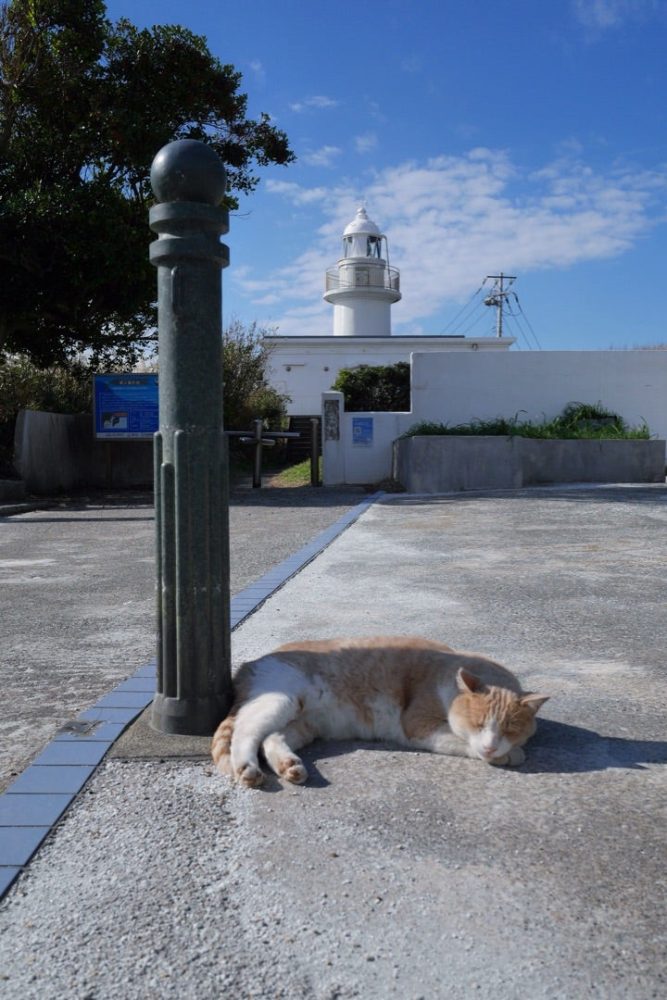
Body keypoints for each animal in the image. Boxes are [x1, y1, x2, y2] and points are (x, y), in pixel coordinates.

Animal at [213, 636, 548, 784]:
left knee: (272, 738)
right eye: (478, 724)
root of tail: (249, 665)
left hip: (303, 723)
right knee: (245, 731)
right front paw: (509, 755)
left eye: (510, 728)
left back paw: (289, 766)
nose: (491, 746)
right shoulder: (418, 725)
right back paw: (246, 768)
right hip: (279, 701)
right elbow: (461, 742)